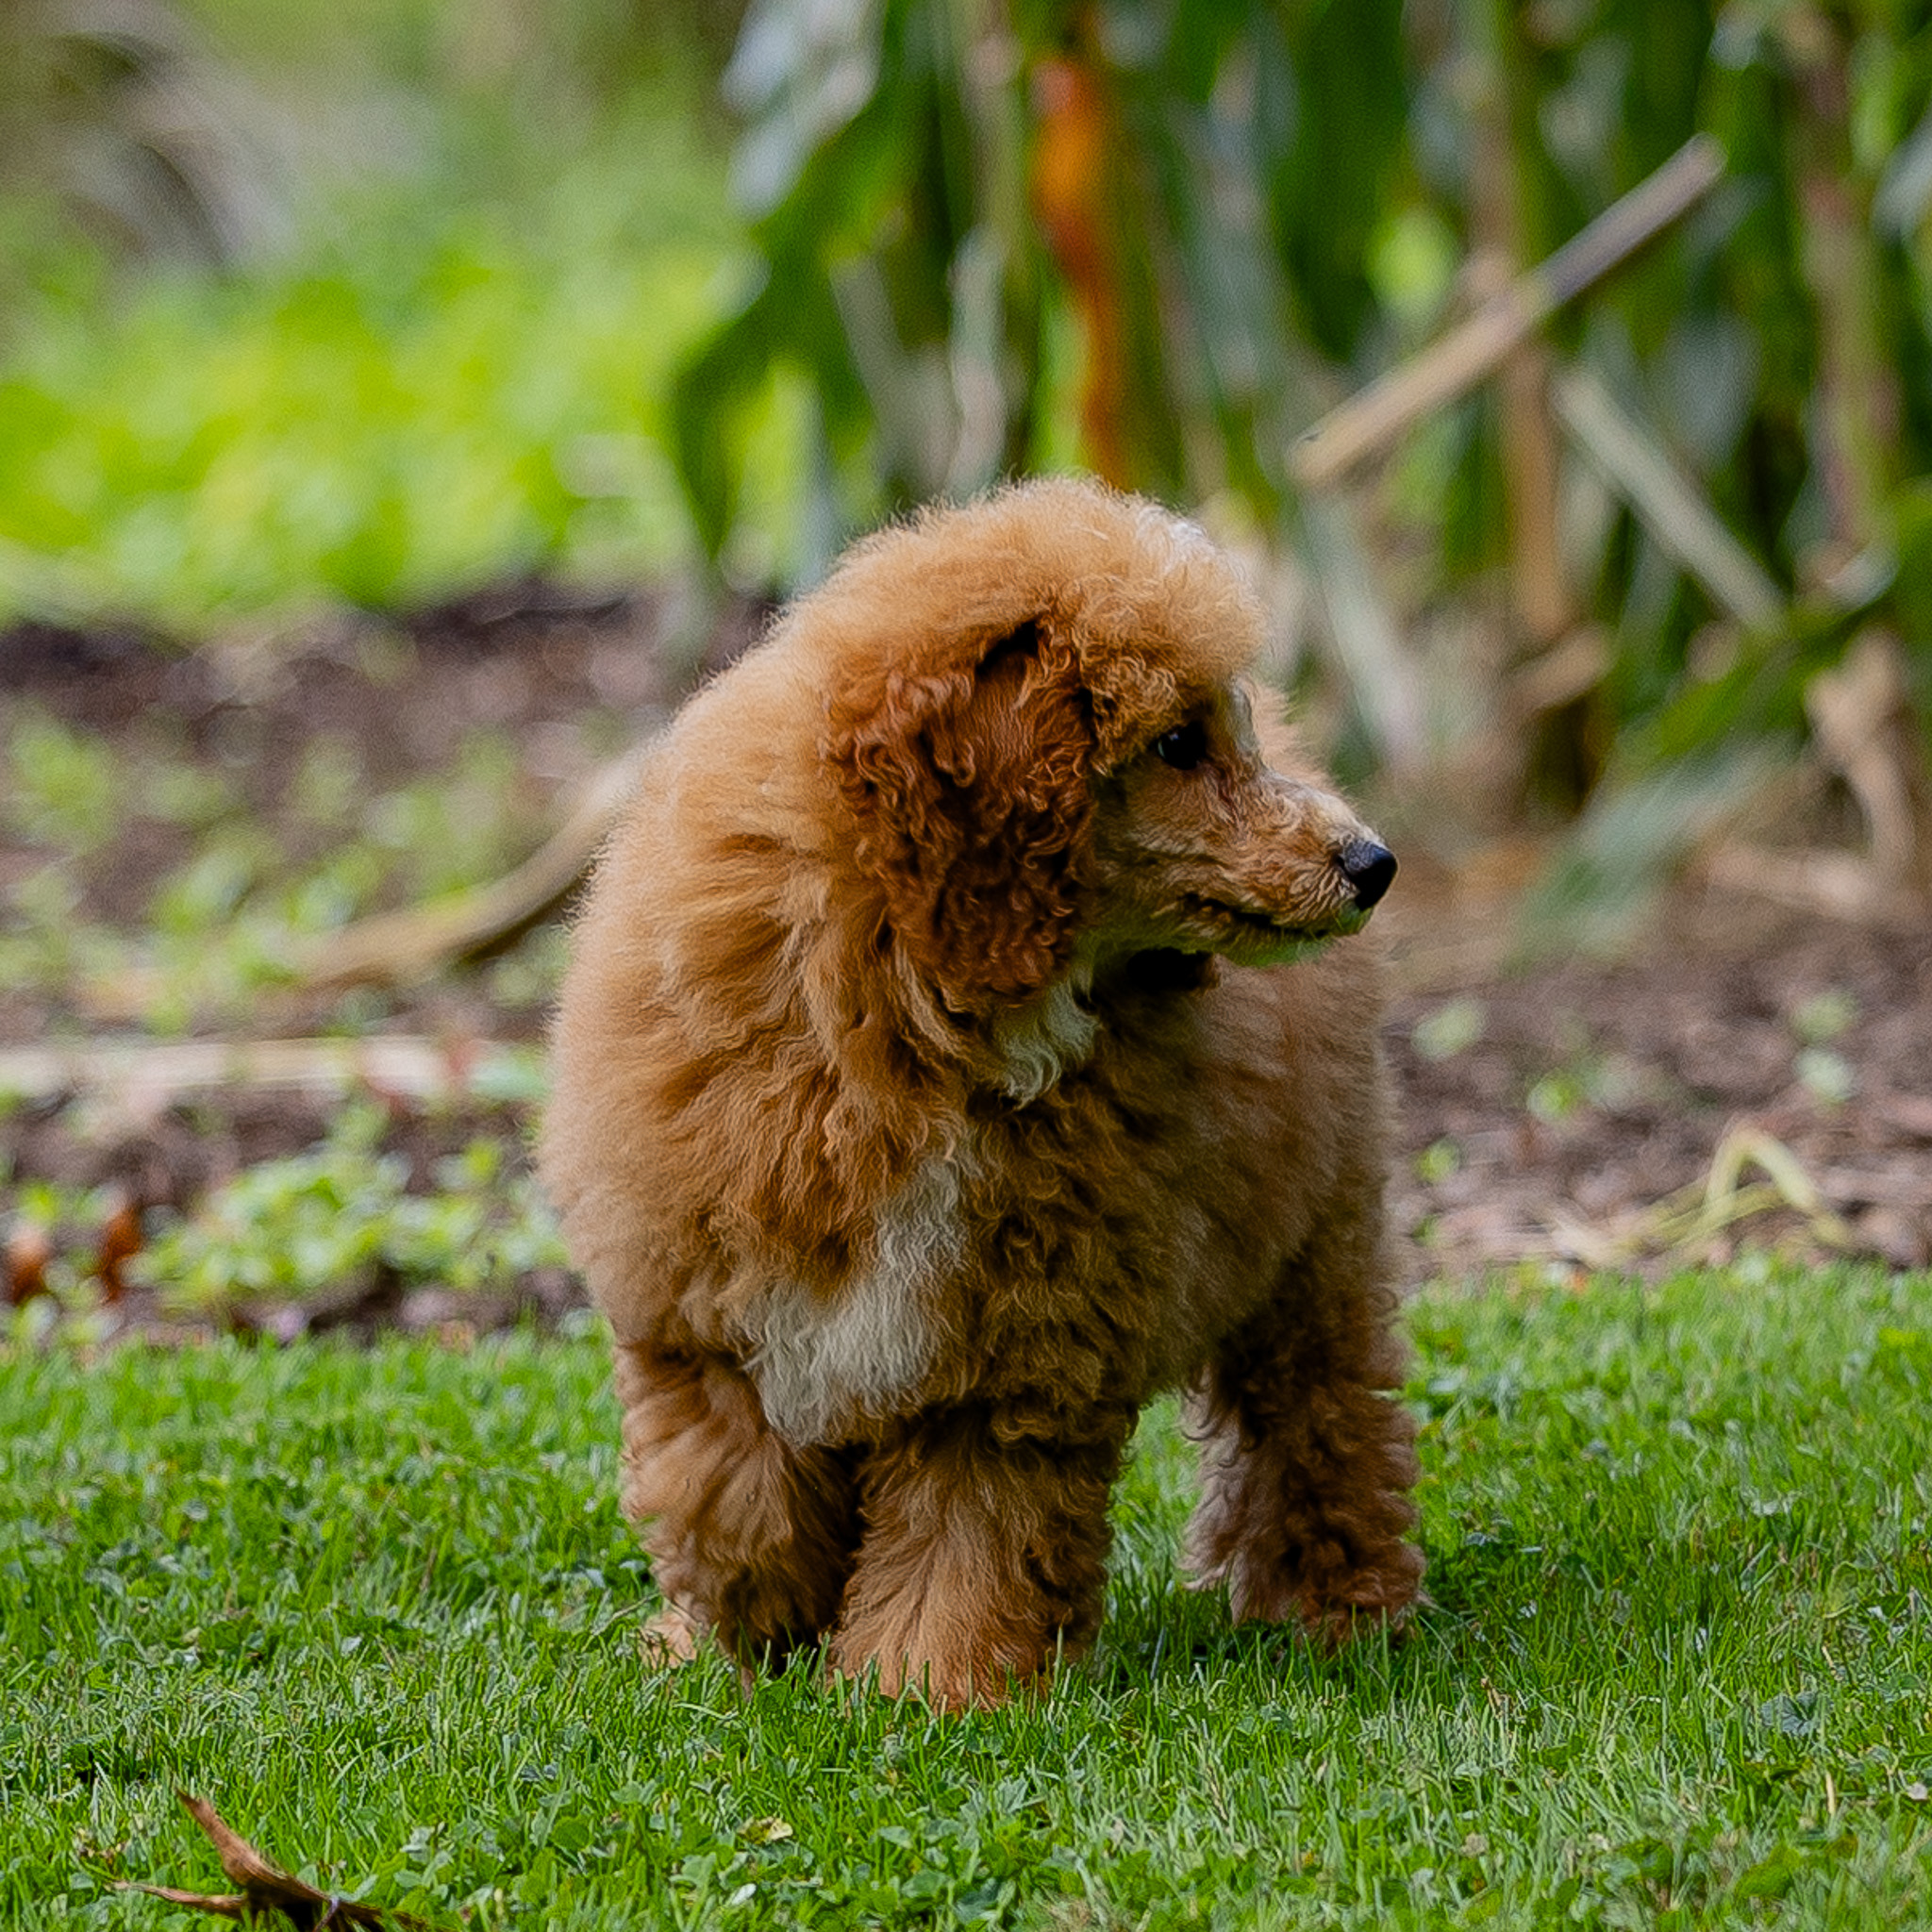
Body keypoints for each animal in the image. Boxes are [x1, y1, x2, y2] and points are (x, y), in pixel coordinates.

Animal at [541, 478, 1422, 1707]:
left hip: (1311, 1241)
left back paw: (1339, 1605)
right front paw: (739, 1637)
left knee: (1320, 1417)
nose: (1371, 861)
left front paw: (921, 1685)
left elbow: (970, 1535)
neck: (915, 1019)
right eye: (1177, 743)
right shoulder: (702, 1306)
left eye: (1222, 735)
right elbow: (731, 1494)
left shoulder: (1008, 1352)